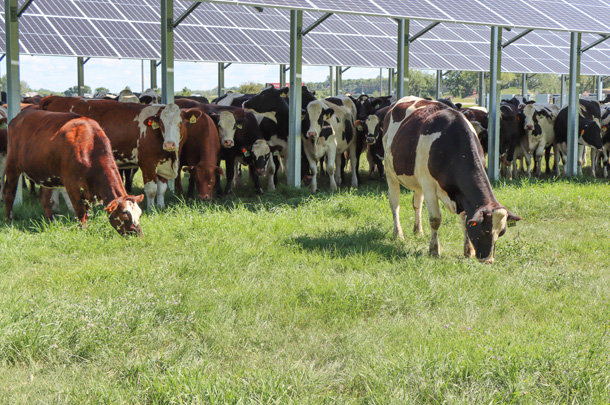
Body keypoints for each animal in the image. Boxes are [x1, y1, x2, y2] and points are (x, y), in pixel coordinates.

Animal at [3, 109, 144, 237]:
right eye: (125, 216)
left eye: (140, 214)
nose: (139, 235)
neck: (90, 147)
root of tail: (19, 116)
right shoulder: (71, 185)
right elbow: (81, 211)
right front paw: (84, 231)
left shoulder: (87, 191)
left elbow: (86, 212)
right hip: (12, 164)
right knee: (9, 192)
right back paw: (8, 220)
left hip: (46, 175)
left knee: (45, 199)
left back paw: (51, 222)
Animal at [41, 95, 198, 208]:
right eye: (161, 123)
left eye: (180, 123)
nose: (170, 143)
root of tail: (55, 98)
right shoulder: (147, 164)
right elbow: (151, 190)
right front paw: (151, 209)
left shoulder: (162, 164)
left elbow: (162, 189)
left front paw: (161, 207)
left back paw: (55, 206)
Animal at [382, 96, 520, 264]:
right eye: (485, 230)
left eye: (501, 232)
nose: (488, 260)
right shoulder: (429, 186)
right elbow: (435, 220)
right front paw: (434, 251)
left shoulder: (460, 195)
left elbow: (465, 219)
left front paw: (468, 251)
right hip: (390, 173)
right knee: (395, 205)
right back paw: (398, 234)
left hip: (418, 181)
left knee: (417, 205)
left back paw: (418, 230)